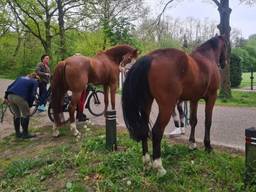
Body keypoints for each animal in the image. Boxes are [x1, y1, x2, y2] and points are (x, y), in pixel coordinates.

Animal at [122, 35, 226, 176]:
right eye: (227, 45)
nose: (224, 63)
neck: (207, 58)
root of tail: (151, 57)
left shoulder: (194, 100)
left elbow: (193, 121)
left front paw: (192, 144)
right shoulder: (211, 97)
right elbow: (207, 121)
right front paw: (208, 146)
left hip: (146, 104)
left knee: (144, 129)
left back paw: (147, 163)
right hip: (167, 106)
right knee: (157, 131)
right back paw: (159, 167)